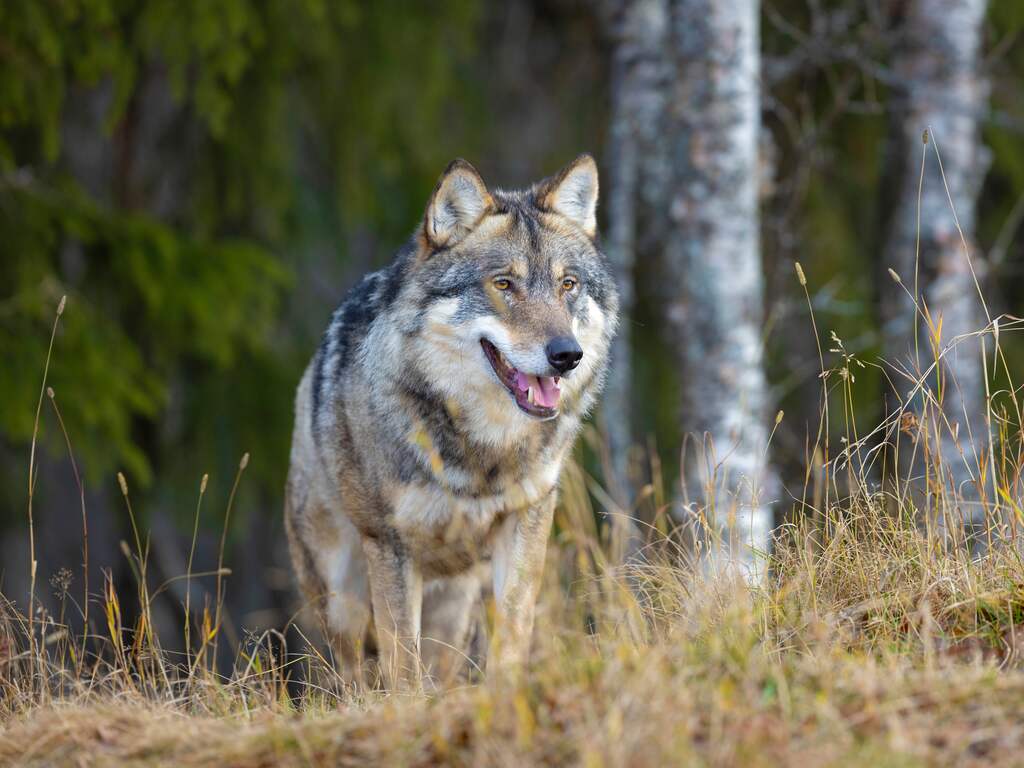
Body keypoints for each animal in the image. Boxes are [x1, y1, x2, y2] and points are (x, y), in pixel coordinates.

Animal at [284, 154, 618, 688]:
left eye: (567, 284)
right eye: (504, 284)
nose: (567, 355)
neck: (483, 450)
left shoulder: (527, 520)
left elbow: (513, 629)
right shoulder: (390, 545)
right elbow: (402, 662)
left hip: (453, 607)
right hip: (341, 596)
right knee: (351, 671)